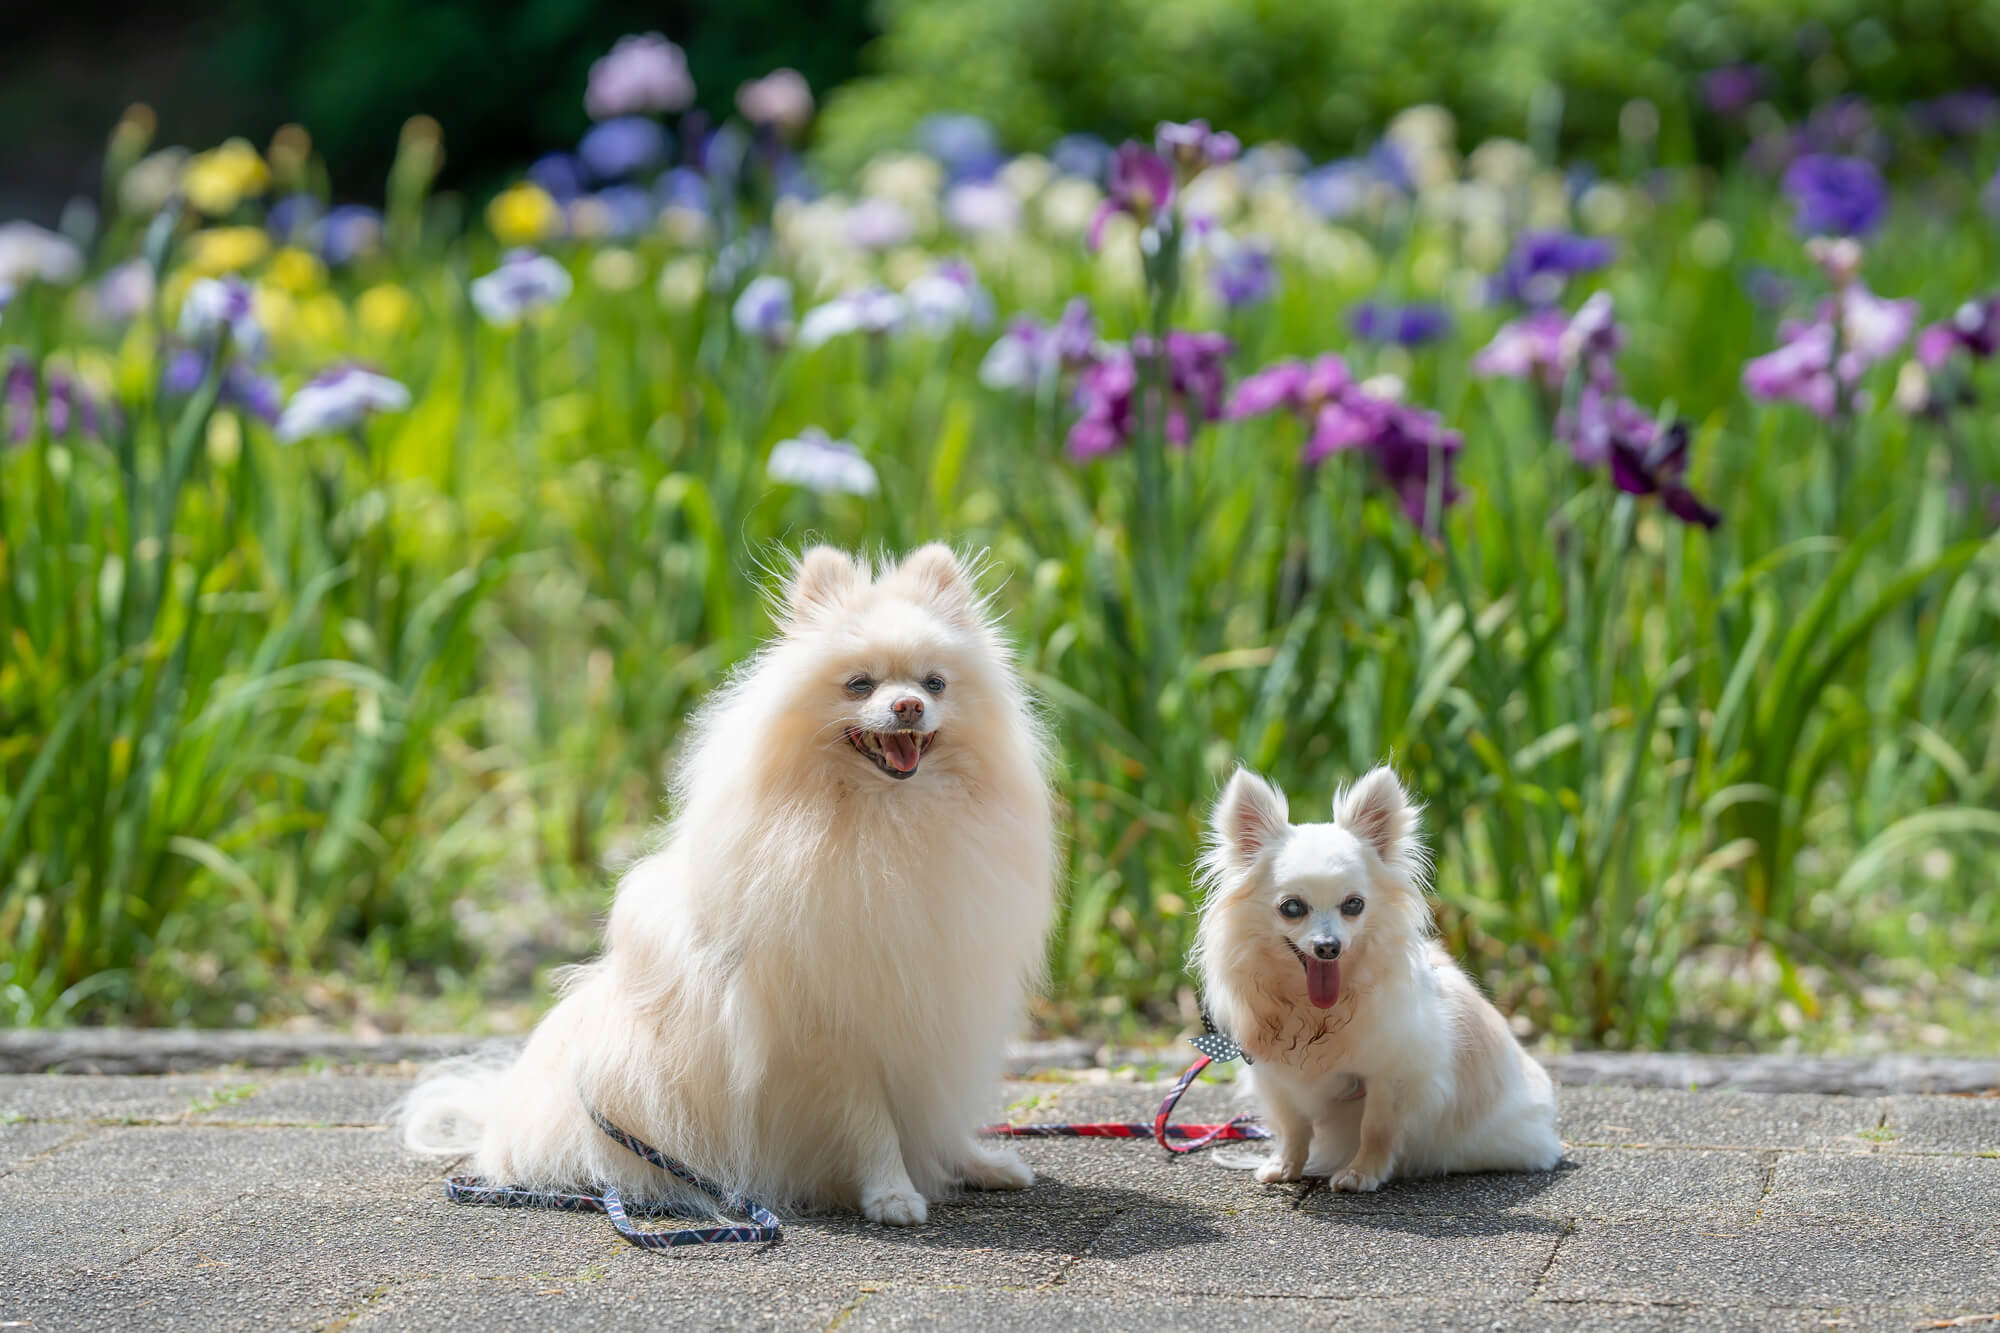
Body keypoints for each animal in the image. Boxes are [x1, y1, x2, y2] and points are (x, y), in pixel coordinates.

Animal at [394, 544, 1064, 1224]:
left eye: (935, 684)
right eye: (860, 685)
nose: (907, 707)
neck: (893, 821)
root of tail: (505, 1110)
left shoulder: (945, 1007)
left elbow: (943, 1113)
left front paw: (975, 1163)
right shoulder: (833, 1025)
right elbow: (870, 1120)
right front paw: (891, 1193)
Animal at [1184, 764, 1560, 1184]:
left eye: (1354, 905)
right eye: (1292, 907)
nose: (1328, 946)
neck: (1314, 1014)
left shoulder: (1393, 1074)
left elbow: (1377, 1128)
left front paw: (1362, 1173)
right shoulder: (1276, 1078)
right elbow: (1293, 1127)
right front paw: (1284, 1166)